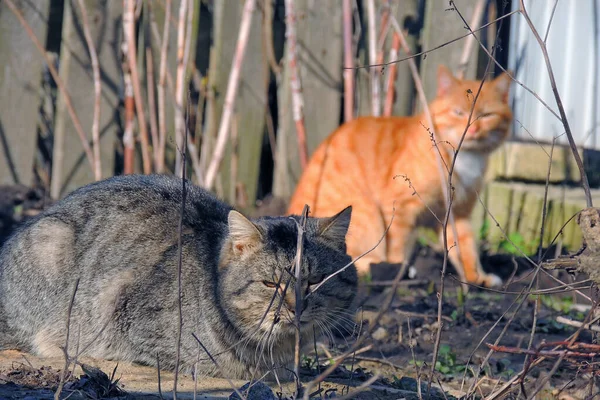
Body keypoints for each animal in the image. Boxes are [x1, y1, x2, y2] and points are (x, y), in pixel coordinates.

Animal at [288, 67, 512, 290]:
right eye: (458, 113)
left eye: (487, 115)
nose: (473, 129)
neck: (464, 157)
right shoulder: (400, 209)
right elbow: (397, 249)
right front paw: (397, 274)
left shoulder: (458, 214)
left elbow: (466, 249)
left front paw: (476, 278)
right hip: (368, 213)